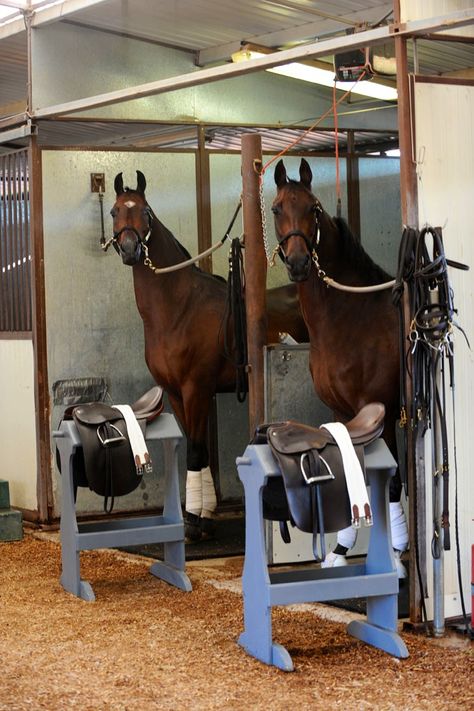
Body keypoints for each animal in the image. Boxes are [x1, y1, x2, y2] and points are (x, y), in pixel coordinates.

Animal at [109, 170, 308, 544]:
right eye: (115, 211)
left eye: (145, 212)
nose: (129, 249)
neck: (178, 308)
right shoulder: (175, 392)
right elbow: (195, 447)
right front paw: (205, 516)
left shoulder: (196, 389)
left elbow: (197, 450)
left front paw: (194, 521)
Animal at [272, 159, 410, 572]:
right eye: (276, 209)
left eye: (314, 209)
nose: (299, 263)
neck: (350, 316)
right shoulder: (342, 411)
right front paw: (339, 551)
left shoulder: (380, 411)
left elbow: (390, 483)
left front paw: (396, 556)